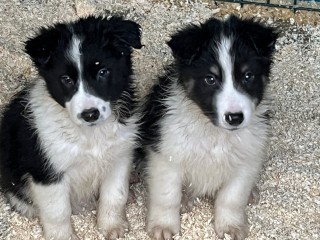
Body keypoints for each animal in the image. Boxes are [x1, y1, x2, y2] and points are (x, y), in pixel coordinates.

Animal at [0, 15, 142, 239]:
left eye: (103, 71)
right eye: (66, 79)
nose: (90, 114)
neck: (90, 135)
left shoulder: (119, 158)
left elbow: (115, 195)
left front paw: (111, 226)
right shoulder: (47, 172)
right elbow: (57, 211)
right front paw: (63, 236)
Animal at [136, 15, 278, 240]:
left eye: (248, 76)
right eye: (210, 79)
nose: (234, 118)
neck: (215, 134)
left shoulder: (246, 160)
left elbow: (232, 198)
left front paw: (230, 227)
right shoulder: (166, 158)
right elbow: (167, 196)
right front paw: (163, 225)